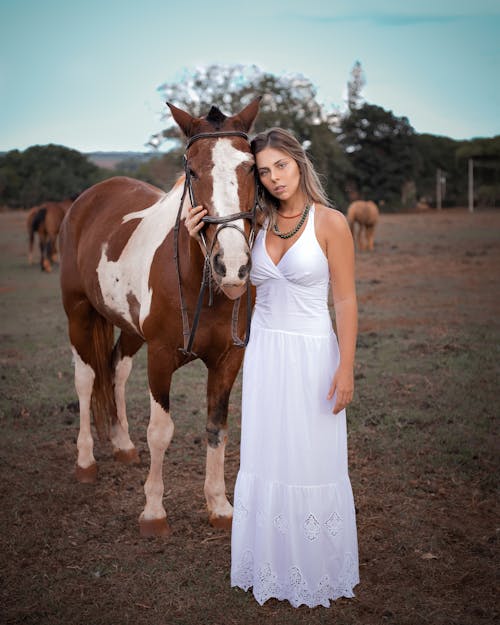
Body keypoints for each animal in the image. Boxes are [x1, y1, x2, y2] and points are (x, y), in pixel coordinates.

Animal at [59, 97, 262, 536]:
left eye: (251, 167)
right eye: (193, 170)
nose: (232, 266)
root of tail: (88, 198)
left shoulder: (228, 358)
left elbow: (217, 428)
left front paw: (219, 505)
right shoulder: (161, 356)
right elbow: (160, 432)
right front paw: (153, 511)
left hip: (130, 329)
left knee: (115, 368)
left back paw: (122, 444)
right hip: (79, 313)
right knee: (86, 379)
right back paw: (85, 461)